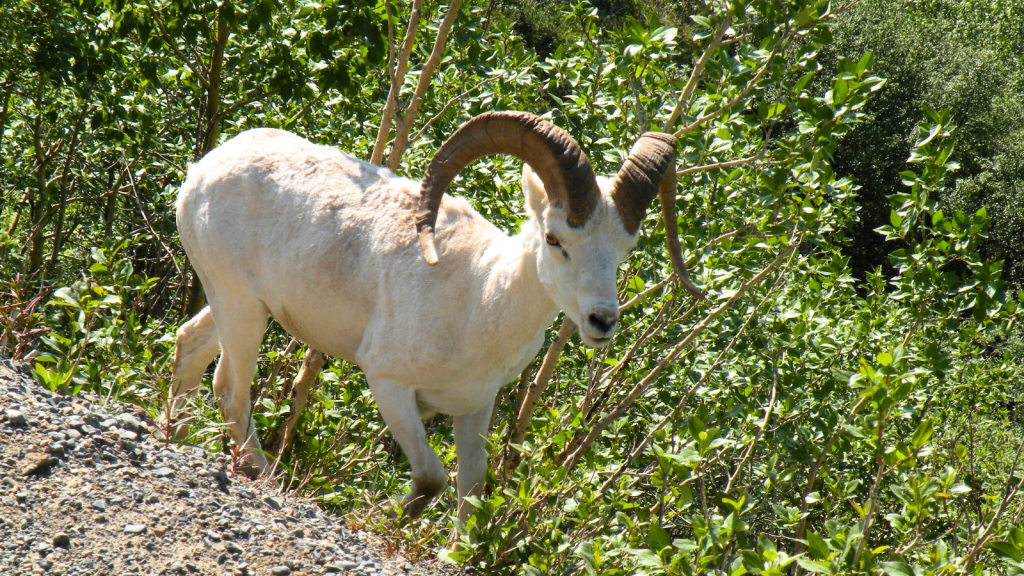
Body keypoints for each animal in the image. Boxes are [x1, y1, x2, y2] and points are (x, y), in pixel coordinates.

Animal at [169, 109, 704, 518]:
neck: (476, 301)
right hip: (241, 309)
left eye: (624, 250)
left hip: (234, 304)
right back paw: (264, 477)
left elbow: (471, 487)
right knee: (232, 390)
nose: (602, 322)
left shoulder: (474, 408)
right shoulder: (389, 386)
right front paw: (381, 517)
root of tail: (203, 169)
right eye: (555, 239)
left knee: (190, 347)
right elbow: (430, 479)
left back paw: (176, 433)